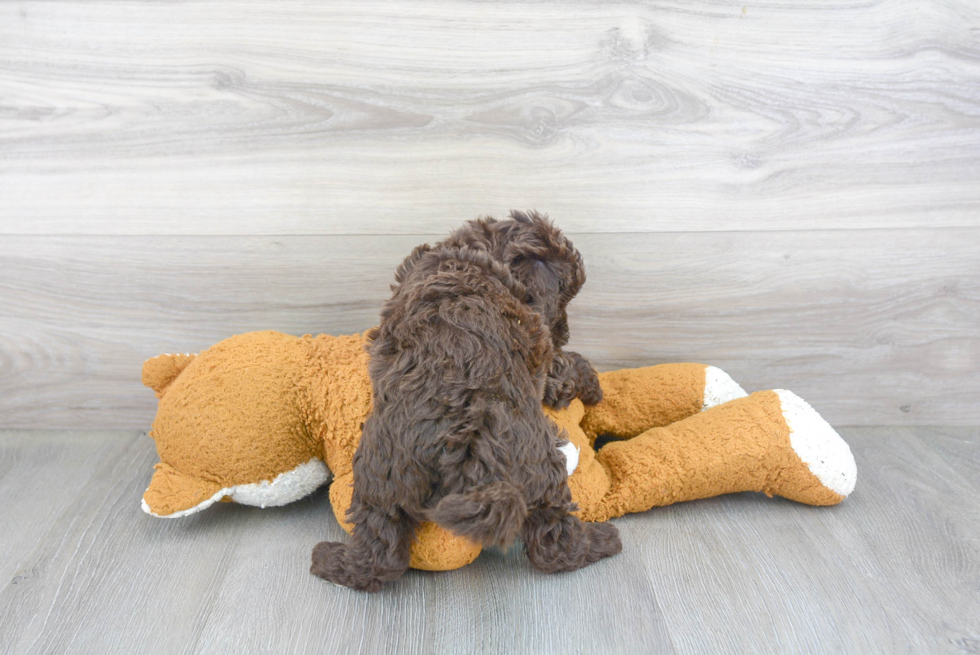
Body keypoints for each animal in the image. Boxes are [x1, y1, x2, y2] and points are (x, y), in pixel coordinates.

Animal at [310, 213, 624, 592]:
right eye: (564, 298)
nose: (564, 331)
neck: (478, 253)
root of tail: (468, 442)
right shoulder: (543, 355)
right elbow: (568, 366)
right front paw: (594, 385)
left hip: (382, 475)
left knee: (379, 550)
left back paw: (328, 560)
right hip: (537, 469)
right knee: (555, 542)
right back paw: (604, 540)